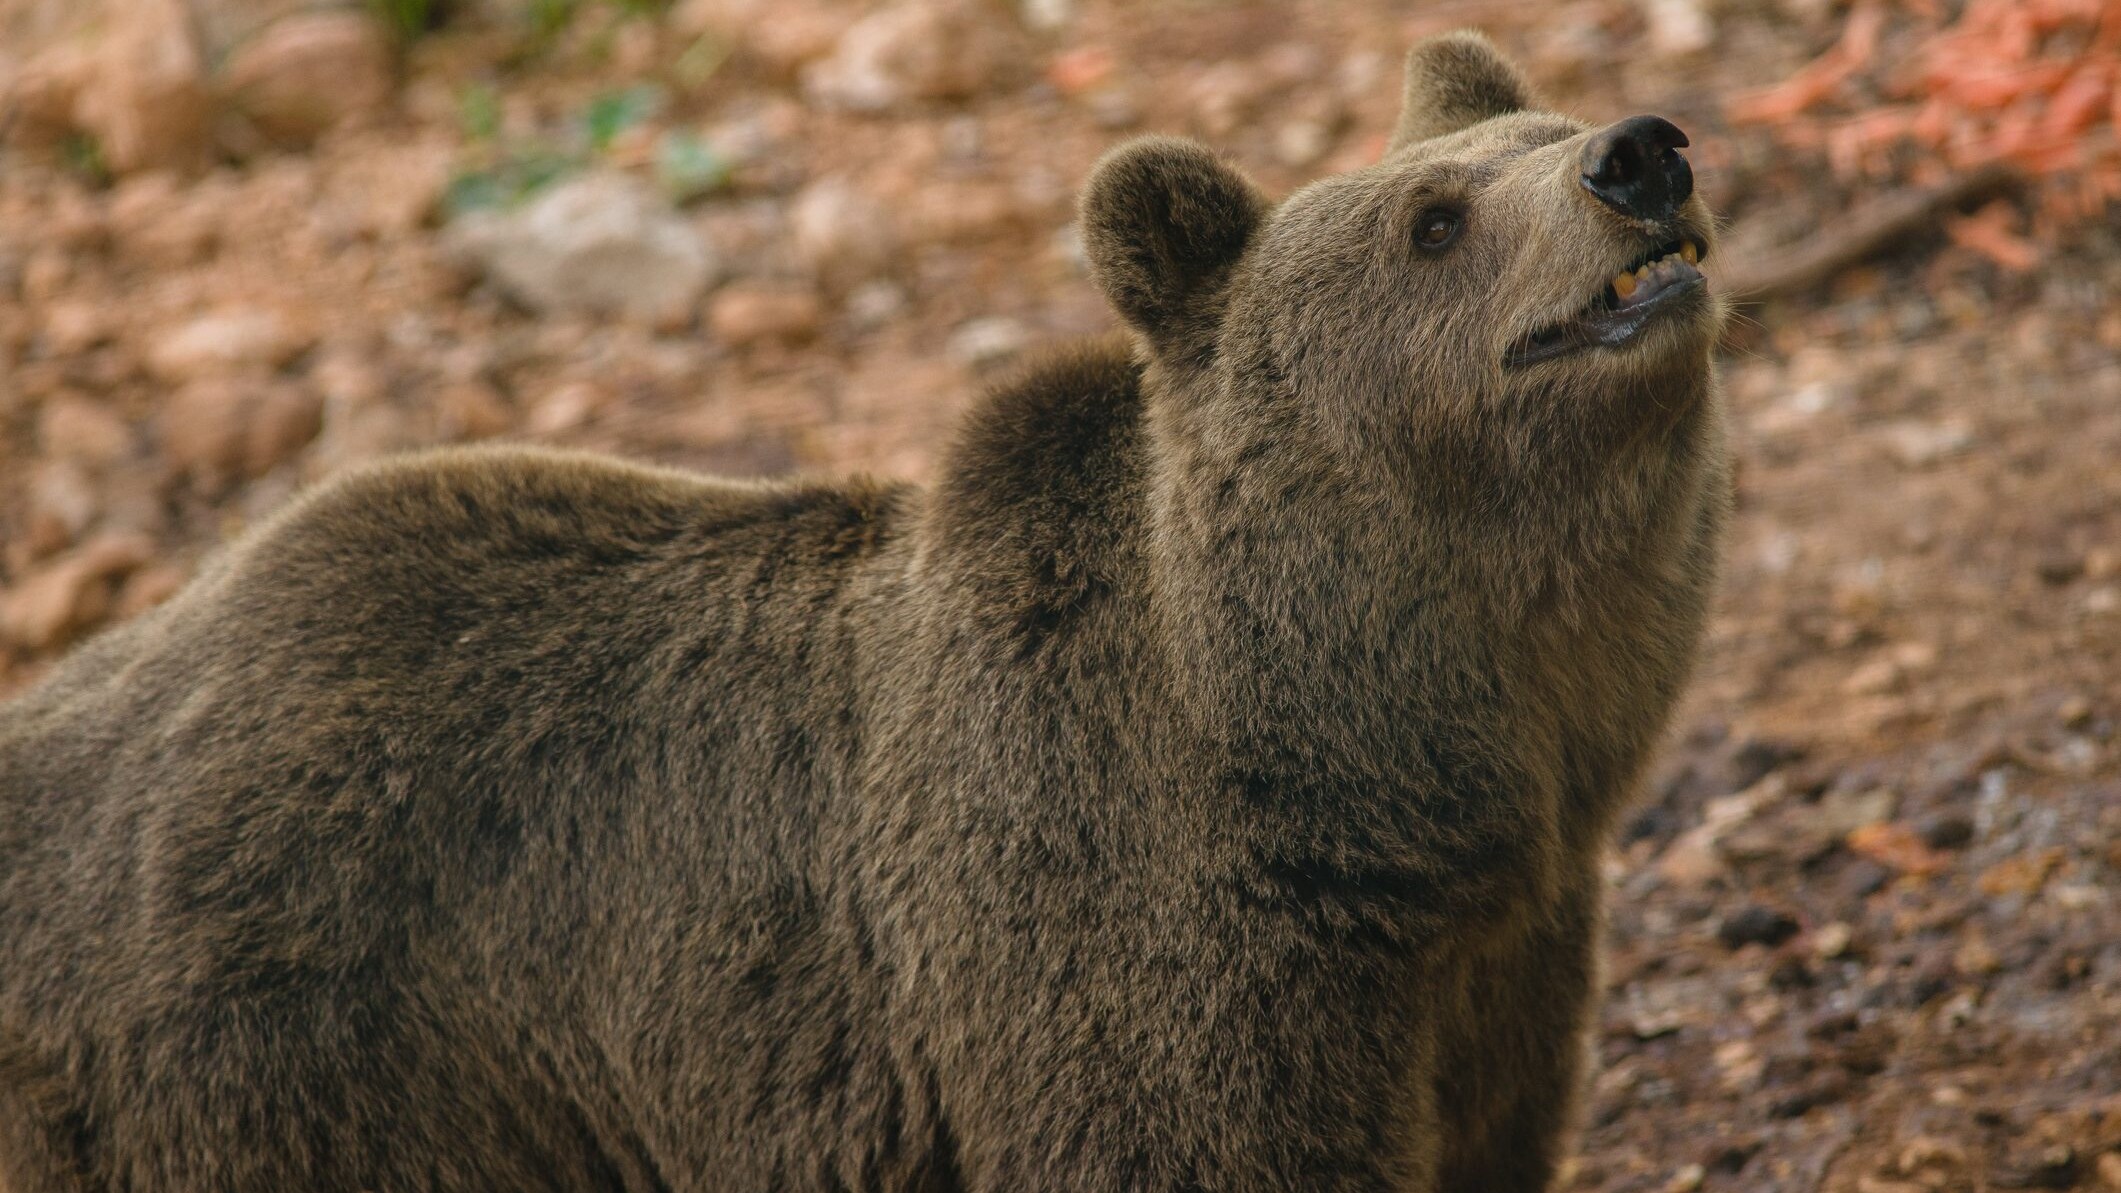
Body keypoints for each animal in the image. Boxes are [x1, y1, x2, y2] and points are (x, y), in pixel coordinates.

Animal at [0, 32, 1727, 1193]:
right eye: (1433, 219)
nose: (1638, 154)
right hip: (283, 1059)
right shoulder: (1130, 941)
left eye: (1546, 126)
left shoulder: (1493, 971)